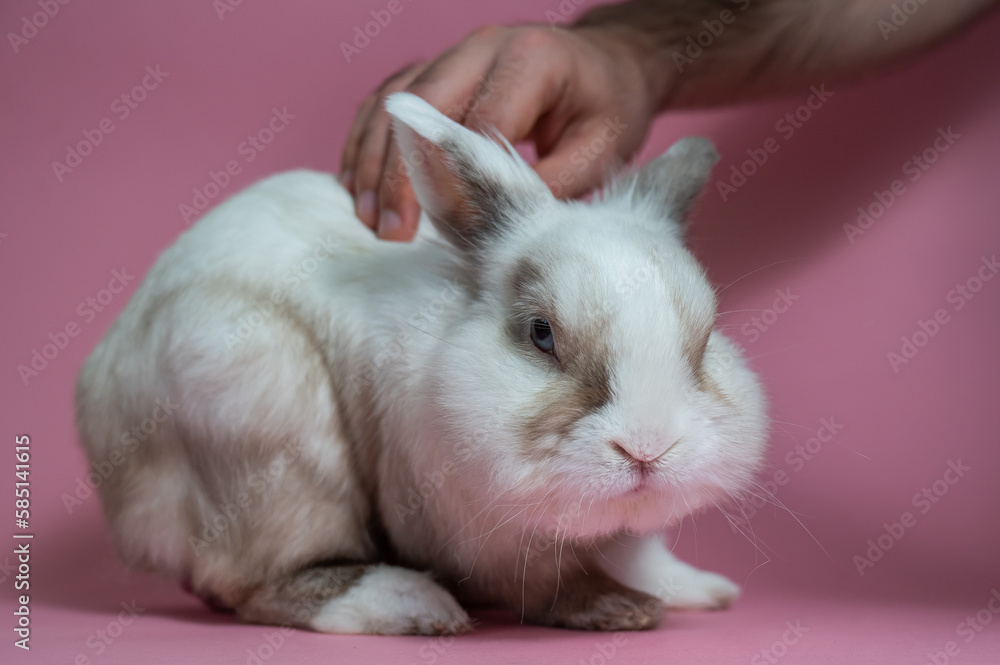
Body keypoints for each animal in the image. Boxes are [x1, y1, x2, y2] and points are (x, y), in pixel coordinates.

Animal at [75, 91, 768, 635]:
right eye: (541, 334)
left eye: (705, 338)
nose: (648, 448)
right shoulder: (484, 537)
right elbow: (546, 584)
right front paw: (616, 608)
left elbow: (637, 554)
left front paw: (692, 588)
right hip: (266, 437)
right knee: (258, 583)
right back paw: (413, 606)